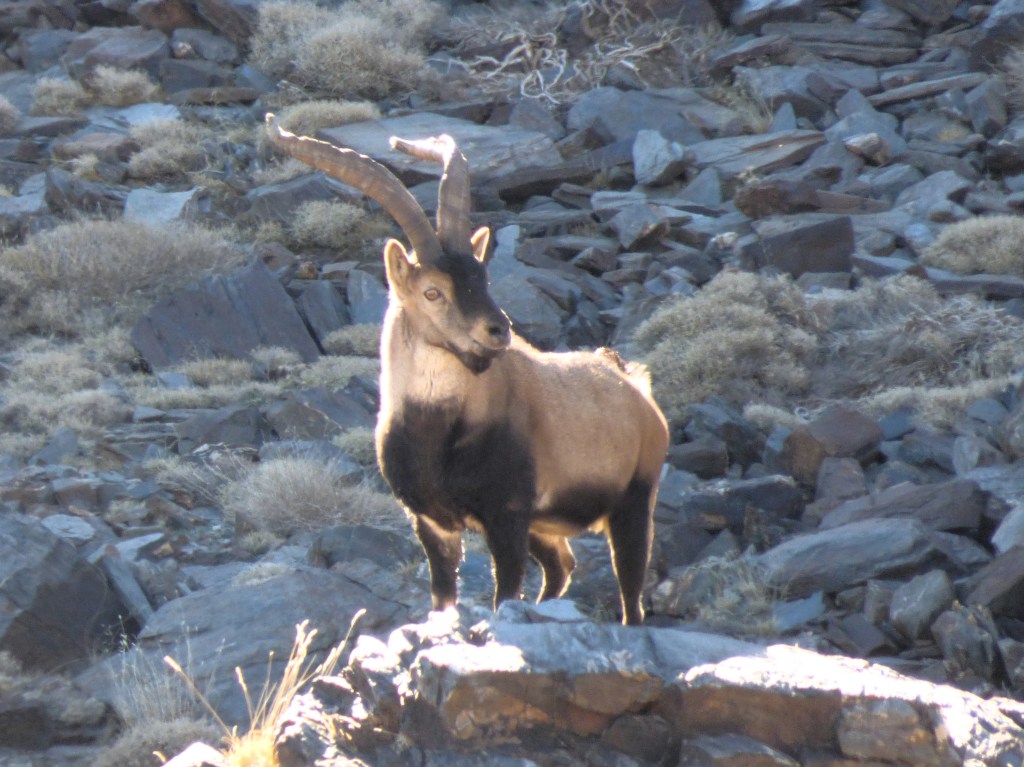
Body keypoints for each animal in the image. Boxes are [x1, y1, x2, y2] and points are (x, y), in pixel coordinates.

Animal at [265, 116, 669, 625]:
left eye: (482, 275)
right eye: (432, 291)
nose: (499, 330)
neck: (436, 431)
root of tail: (636, 389)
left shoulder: (506, 515)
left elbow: (505, 596)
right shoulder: (432, 522)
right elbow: (443, 599)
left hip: (634, 501)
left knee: (630, 593)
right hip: (547, 527)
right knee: (561, 567)